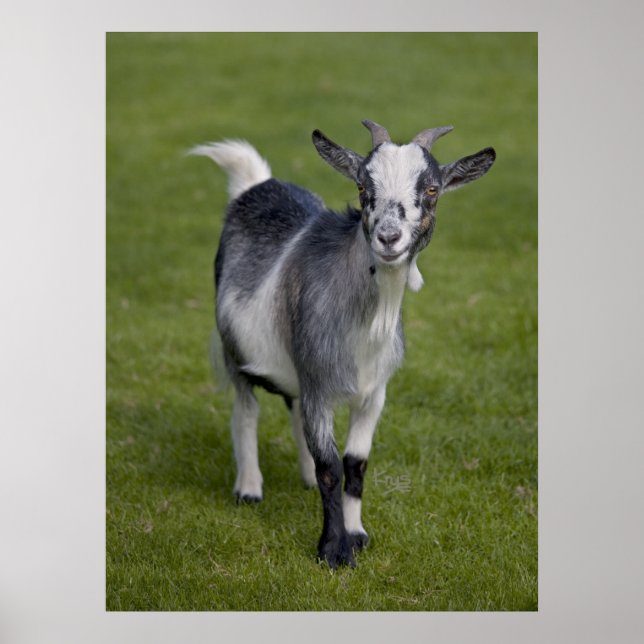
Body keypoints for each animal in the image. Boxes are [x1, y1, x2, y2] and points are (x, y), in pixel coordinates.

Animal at [190, 120, 495, 568]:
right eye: (362, 186)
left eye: (432, 188)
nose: (389, 237)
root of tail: (257, 184)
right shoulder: (319, 384)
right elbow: (330, 467)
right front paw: (333, 551)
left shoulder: (373, 393)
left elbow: (354, 466)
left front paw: (357, 534)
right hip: (236, 351)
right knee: (245, 410)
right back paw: (249, 488)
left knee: (293, 410)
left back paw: (301, 477)